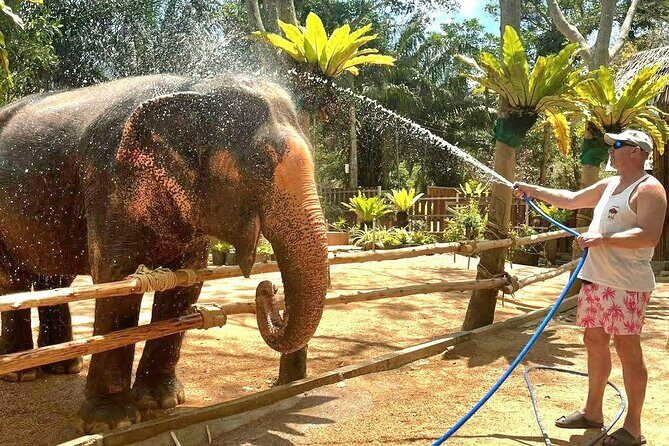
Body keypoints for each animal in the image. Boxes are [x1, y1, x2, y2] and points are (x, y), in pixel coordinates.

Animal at [0, 74, 329, 433]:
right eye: (260, 164)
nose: (268, 288)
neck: (193, 89)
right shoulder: (109, 183)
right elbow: (116, 282)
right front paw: (109, 423)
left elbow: (186, 285)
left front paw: (161, 402)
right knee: (13, 281)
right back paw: (22, 373)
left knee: (55, 279)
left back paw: (63, 367)